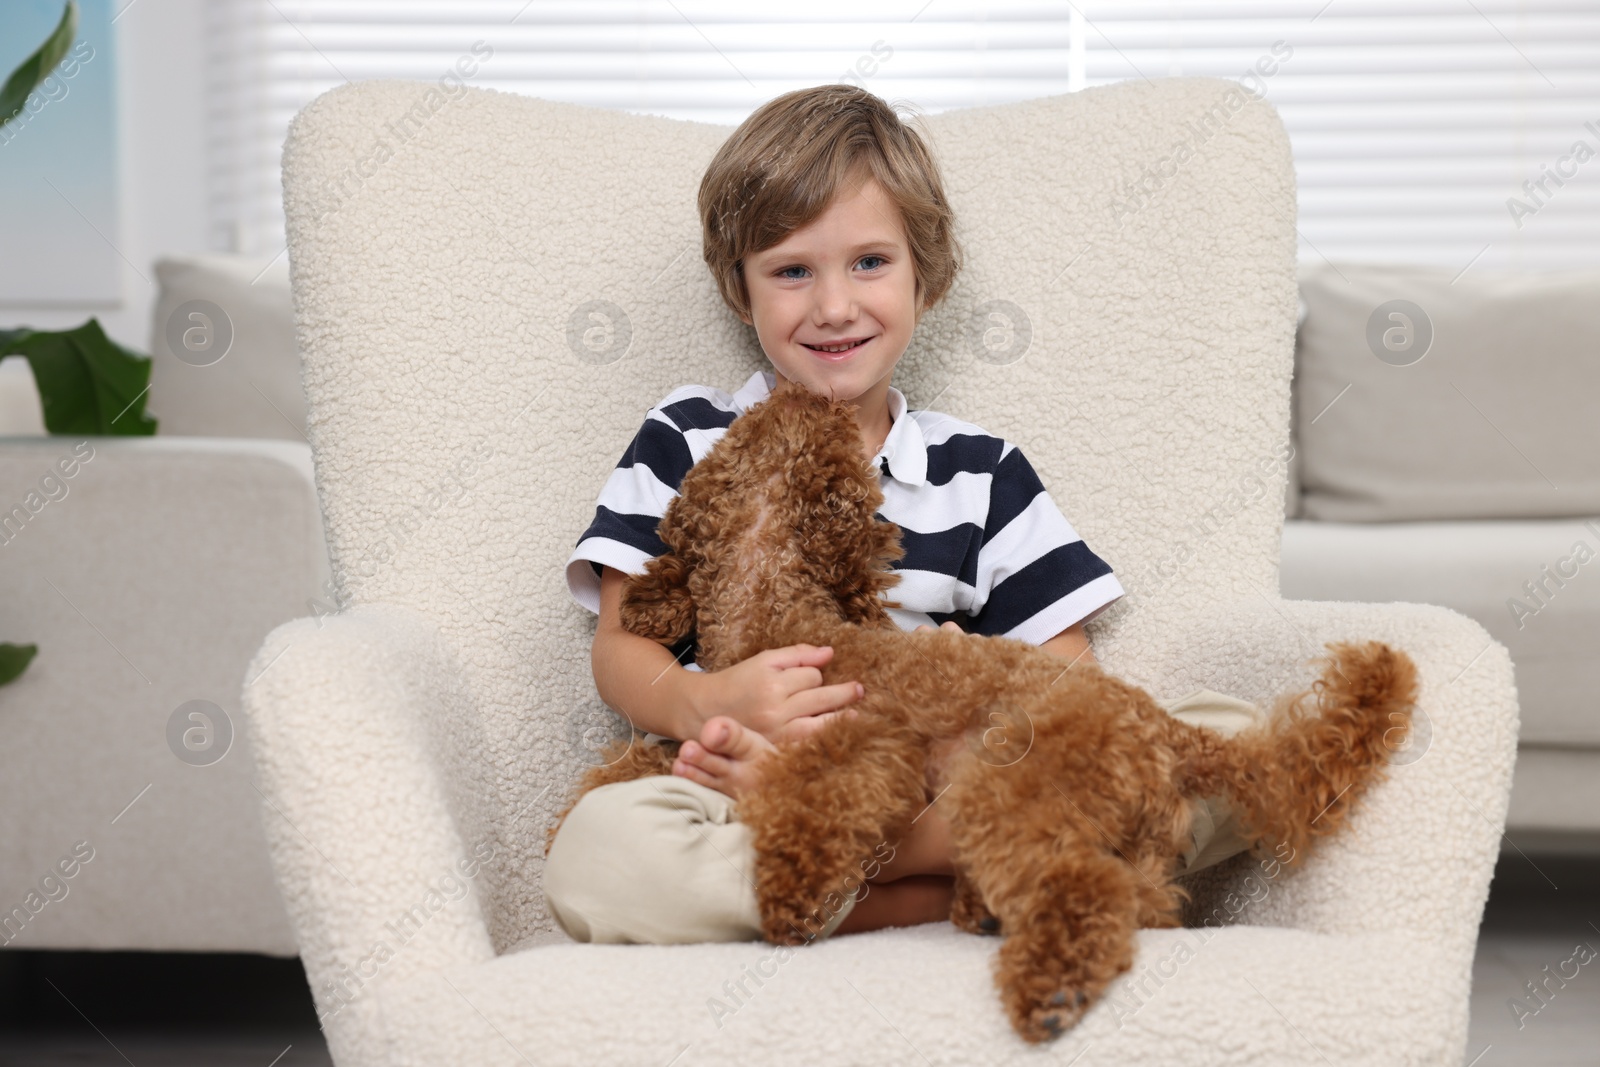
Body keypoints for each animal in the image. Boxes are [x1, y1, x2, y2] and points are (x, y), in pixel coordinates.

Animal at [556, 379, 1420, 1049]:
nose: (808, 389)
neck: (773, 605)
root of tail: (1166, 730)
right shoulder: (708, 719)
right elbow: (643, 760)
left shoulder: (859, 741)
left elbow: (819, 807)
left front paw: (794, 898)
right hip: (1127, 835)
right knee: (1144, 905)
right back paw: (982, 913)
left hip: (1010, 785)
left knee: (1085, 887)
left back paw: (1045, 984)